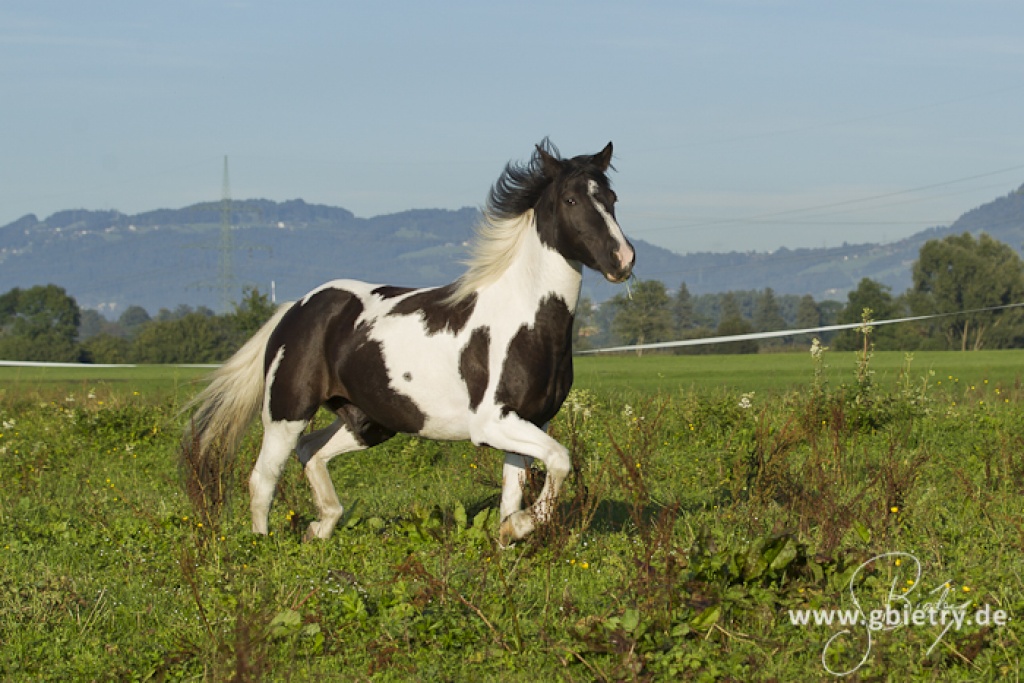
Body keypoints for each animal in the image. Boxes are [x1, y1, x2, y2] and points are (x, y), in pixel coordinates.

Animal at [182, 140, 635, 545]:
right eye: (572, 200)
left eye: (612, 198)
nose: (623, 260)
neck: (525, 321)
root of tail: (298, 307)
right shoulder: (492, 423)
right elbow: (560, 460)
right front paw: (519, 527)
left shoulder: (531, 421)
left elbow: (515, 491)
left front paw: (508, 539)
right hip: (285, 412)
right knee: (263, 477)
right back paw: (261, 546)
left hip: (368, 420)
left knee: (311, 450)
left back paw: (320, 529)